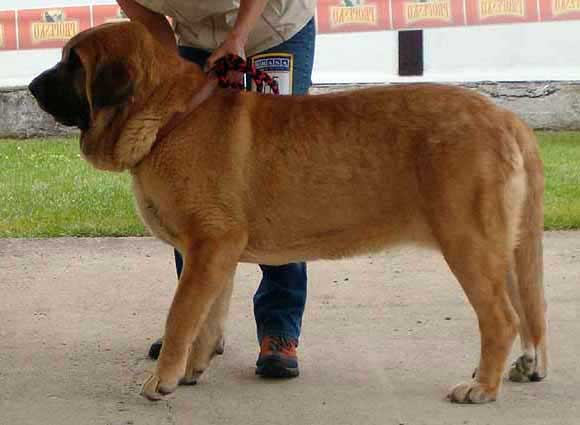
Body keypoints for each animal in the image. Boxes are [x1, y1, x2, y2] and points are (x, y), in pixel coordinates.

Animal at [29, 21, 548, 402]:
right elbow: (206, 316)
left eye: (72, 62)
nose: (32, 87)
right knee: (527, 309)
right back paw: (522, 367)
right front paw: (194, 369)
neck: (169, 117)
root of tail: (506, 118)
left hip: (468, 242)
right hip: (502, 248)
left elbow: (180, 316)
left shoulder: (209, 245)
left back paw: (481, 387)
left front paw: (163, 380)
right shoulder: (214, 254)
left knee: (501, 318)